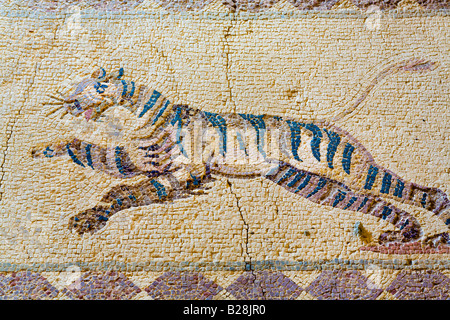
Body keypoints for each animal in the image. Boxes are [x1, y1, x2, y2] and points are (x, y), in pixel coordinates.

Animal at [31, 60, 450, 250]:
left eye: (100, 87)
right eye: (78, 86)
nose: (72, 101)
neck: (133, 122)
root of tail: (323, 122)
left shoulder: (182, 172)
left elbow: (125, 193)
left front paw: (89, 219)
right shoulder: (132, 161)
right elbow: (86, 151)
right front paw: (41, 149)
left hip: (353, 173)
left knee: (421, 192)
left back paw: (433, 238)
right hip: (313, 185)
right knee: (382, 205)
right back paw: (404, 236)